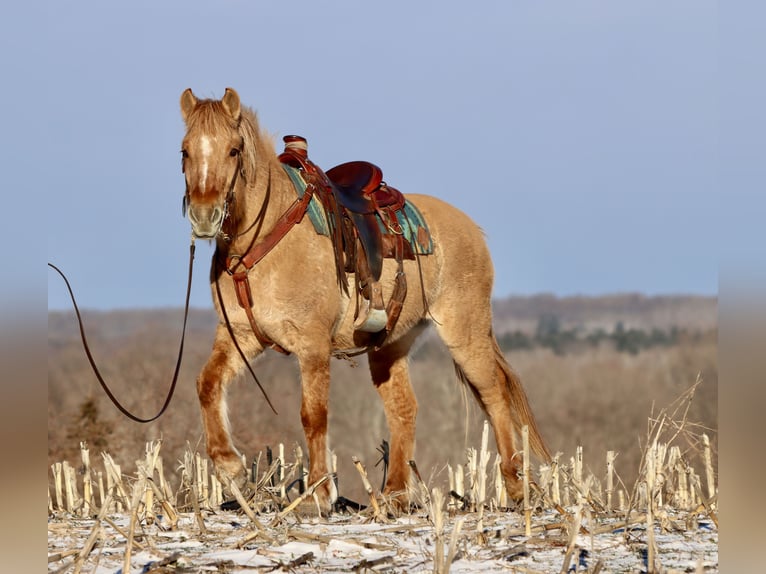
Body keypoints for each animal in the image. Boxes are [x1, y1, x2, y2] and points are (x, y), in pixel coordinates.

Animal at [179, 87, 550, 512]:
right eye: (185, 151)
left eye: (234, 150)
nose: (204, 216)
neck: (267, 239)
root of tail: (471, 229)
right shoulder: (240, 336)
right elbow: (207, 383)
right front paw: (231, 468)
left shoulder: (312, 345)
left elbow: (313, 415)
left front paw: (319, 493)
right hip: (390, 346)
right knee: (404, 409)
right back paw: (394, 495)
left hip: (465, 333)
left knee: (494, 396)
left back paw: (517, 486)